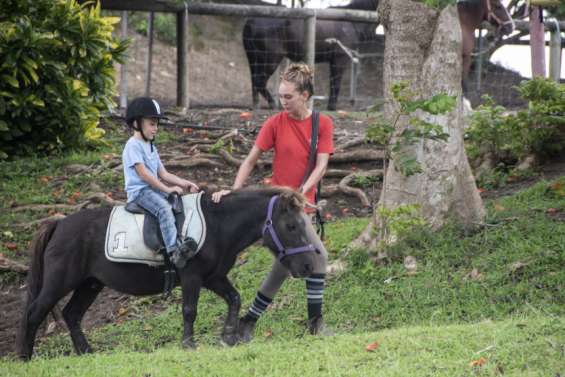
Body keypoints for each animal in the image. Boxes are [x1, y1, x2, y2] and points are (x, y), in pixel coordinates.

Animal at [16, 187, 318, 358]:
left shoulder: (213, 277)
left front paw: (229, 336)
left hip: (90, 283)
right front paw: (189, 344)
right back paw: (25, 357)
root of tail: (58, 224)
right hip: (59, 281)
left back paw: (86, 353)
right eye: (291, 226)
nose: (307, 266)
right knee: (34, 313)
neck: (218, 223)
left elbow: (234, 298)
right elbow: (189, 310)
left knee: (72, 314)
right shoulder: (192, 276)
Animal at [243, 0, 378, 111]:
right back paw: (275, 104)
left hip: (254, 58)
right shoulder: (340, 58)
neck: (353, 23)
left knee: (254, 82)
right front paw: (332, 107)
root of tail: (250, 21)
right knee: (259, 81)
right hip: (270, 58)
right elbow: (336, 83)